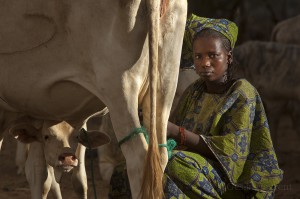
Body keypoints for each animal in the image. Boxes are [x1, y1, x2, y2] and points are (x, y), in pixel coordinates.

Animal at [0, 1, 188, 197]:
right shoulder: (39, 115)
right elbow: (41, 174)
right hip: (164, 86)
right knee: (161, 154)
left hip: (120, 89)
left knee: (139, 159)